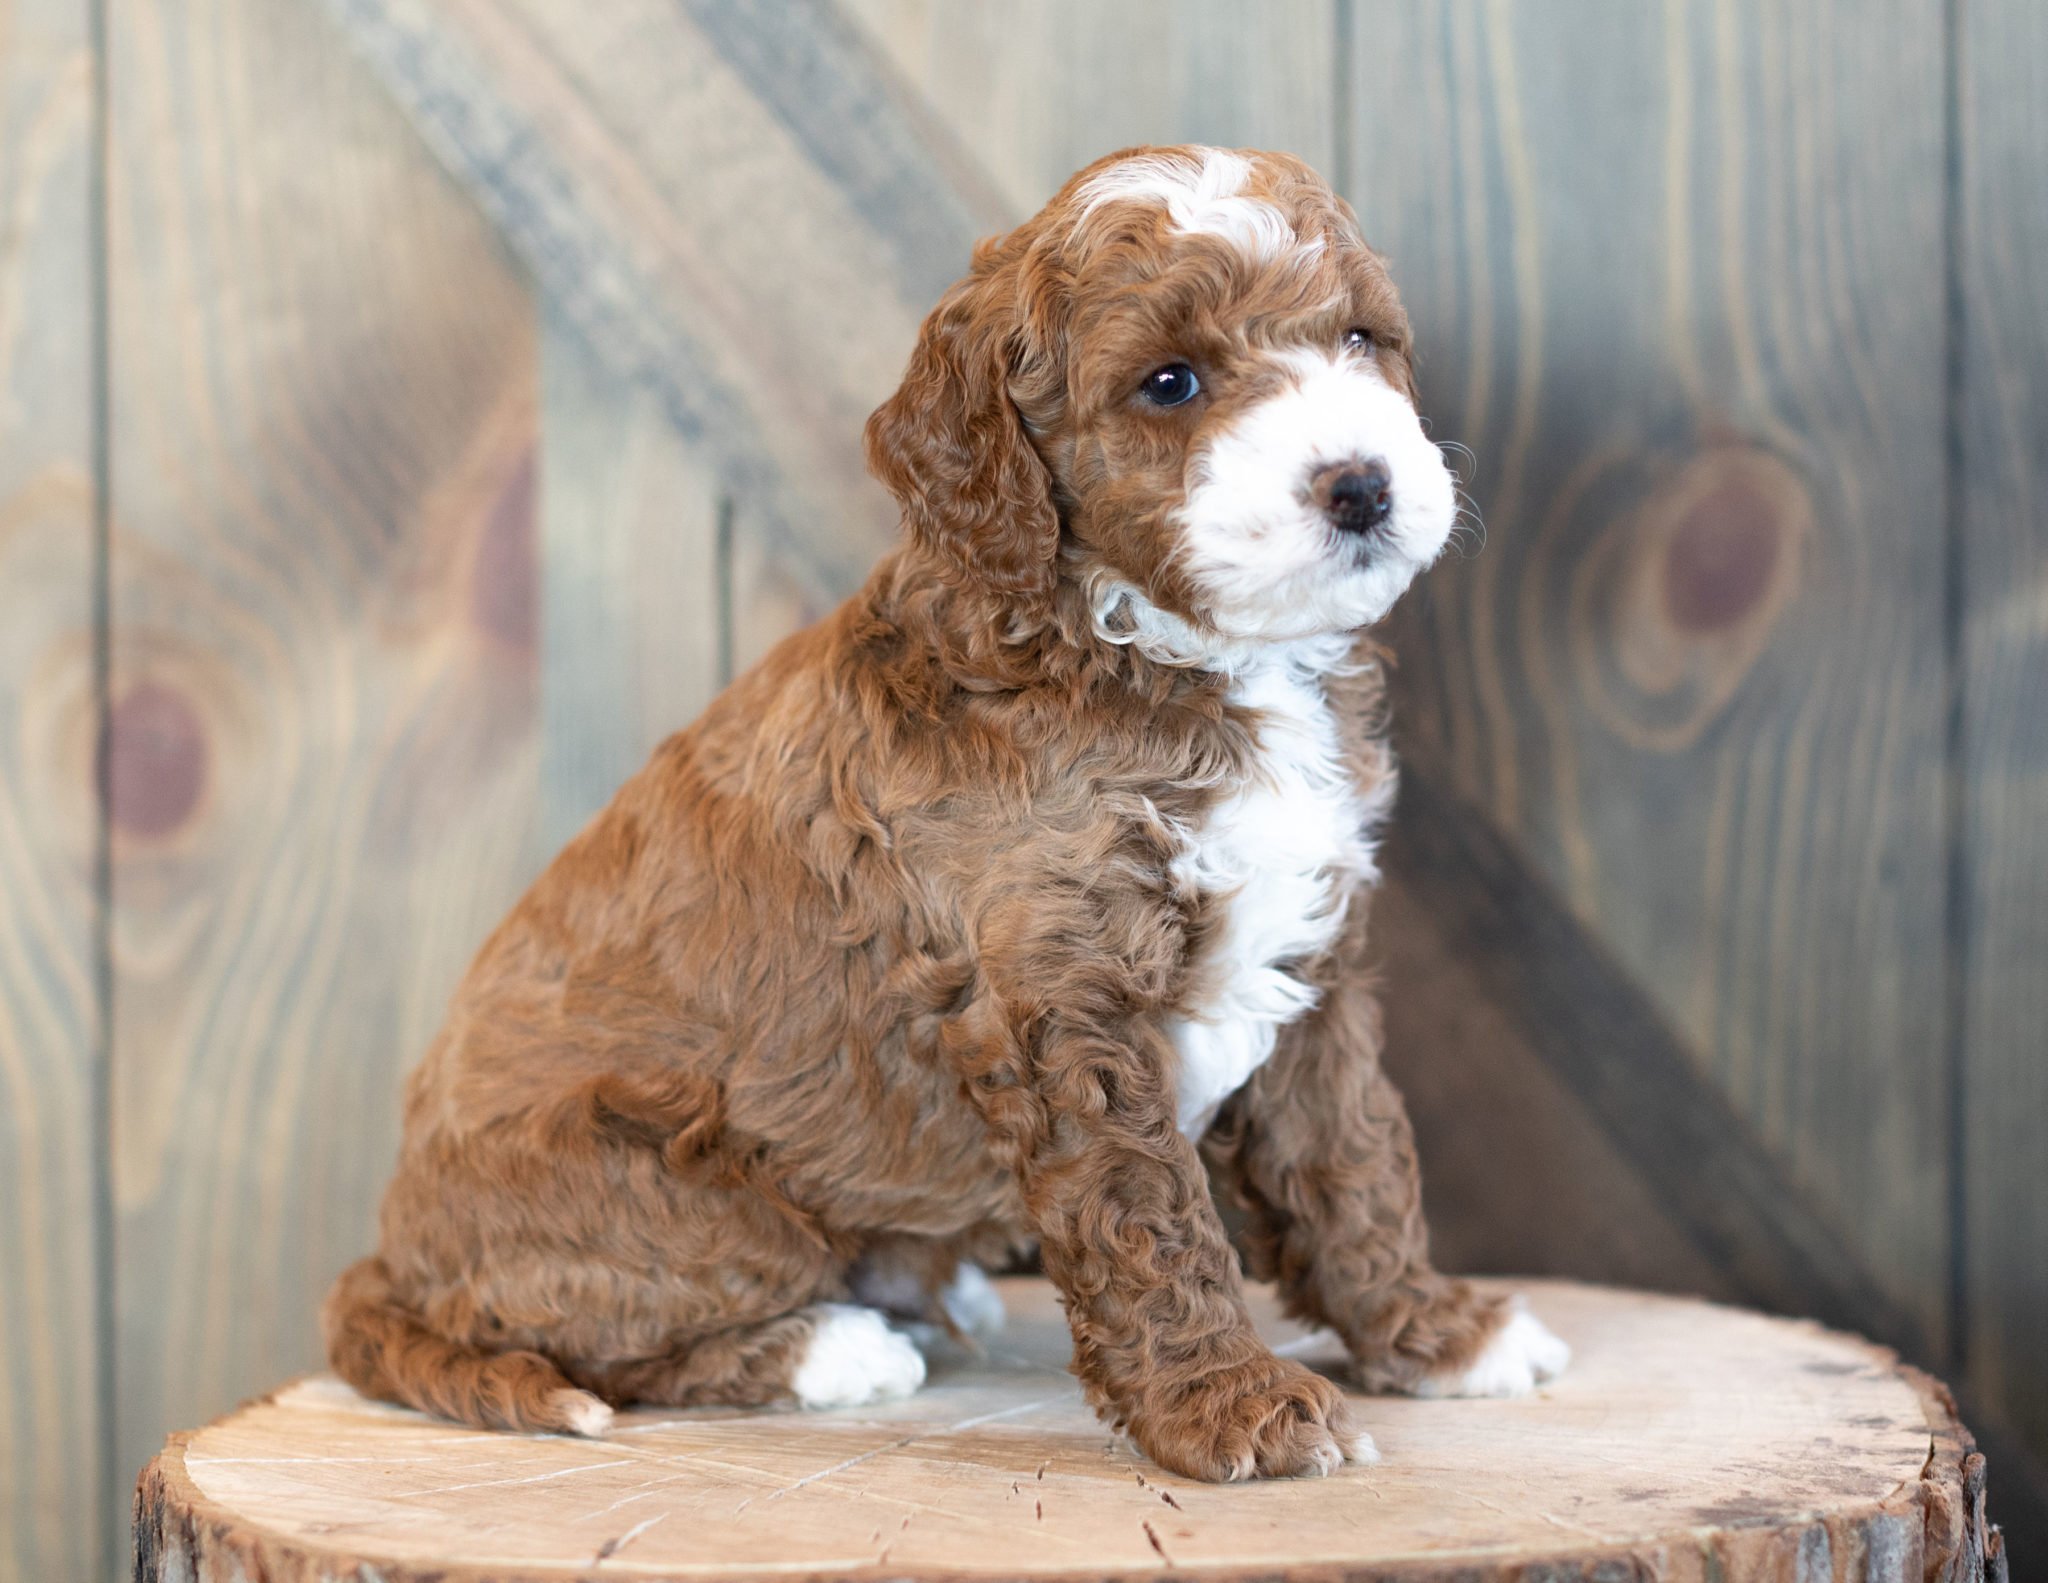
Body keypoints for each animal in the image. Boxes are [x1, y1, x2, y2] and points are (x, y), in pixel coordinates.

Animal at [323, 142, 1564, 1474]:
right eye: (1169, 382)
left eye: (1359, 336)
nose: (1361, 486)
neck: (1162, 653)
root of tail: (389, 1259)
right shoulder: (1062, 1009)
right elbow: (1150, 1214)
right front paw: (1229, 1402)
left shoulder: (1316, 958)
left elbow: (1353, 1153)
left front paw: (1435, 1333)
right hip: (670, 1194)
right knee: (608, 1340)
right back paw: (832, 1344)